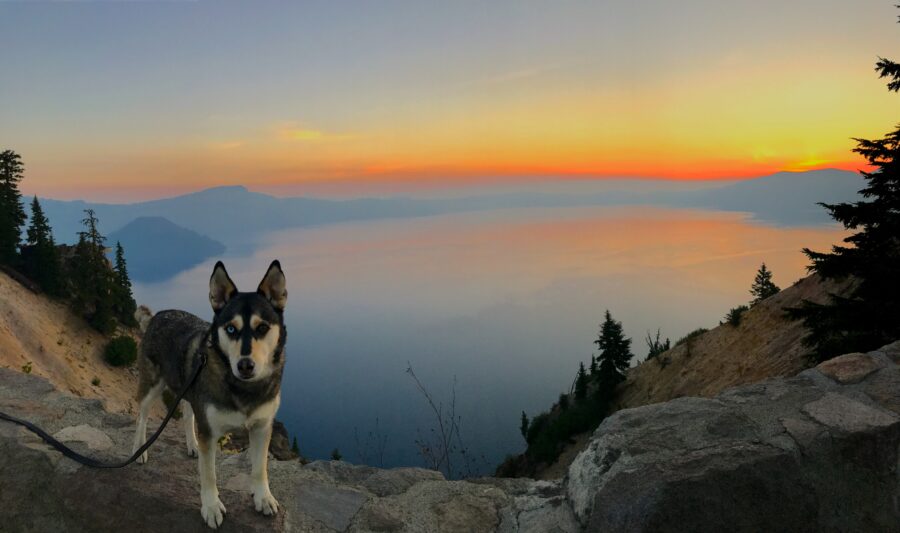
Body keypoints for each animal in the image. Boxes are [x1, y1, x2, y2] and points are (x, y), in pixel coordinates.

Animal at [132, 258, 288, 528]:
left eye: (262, 327)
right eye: (231, 329)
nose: (245, 365)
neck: (243, 388)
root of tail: (156, 316)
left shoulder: (262, 426)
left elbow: (260, 467)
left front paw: (263, 497)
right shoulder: (210, 431)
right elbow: (209, 474)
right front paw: (211, 506)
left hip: (187, 386)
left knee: (187, 413)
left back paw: (192, 444)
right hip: (152, 383)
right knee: (141, 414)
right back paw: (140, 448)